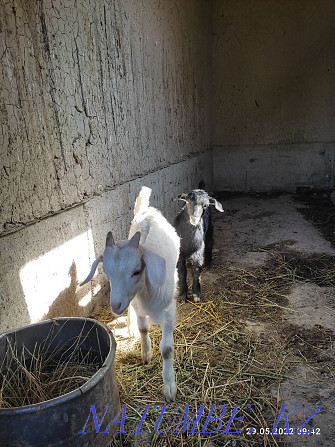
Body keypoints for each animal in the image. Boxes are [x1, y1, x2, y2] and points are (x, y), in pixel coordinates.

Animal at [81, 187, 180, 404]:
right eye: (107, 273)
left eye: (136, 271)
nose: (116, 305)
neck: (146, 290)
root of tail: (146, 210)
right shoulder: (136, 304)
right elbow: (143, 329)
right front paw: (145, 353)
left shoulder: (168, 312)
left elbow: (167, 349)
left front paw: (170, 387)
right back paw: (129, 326)